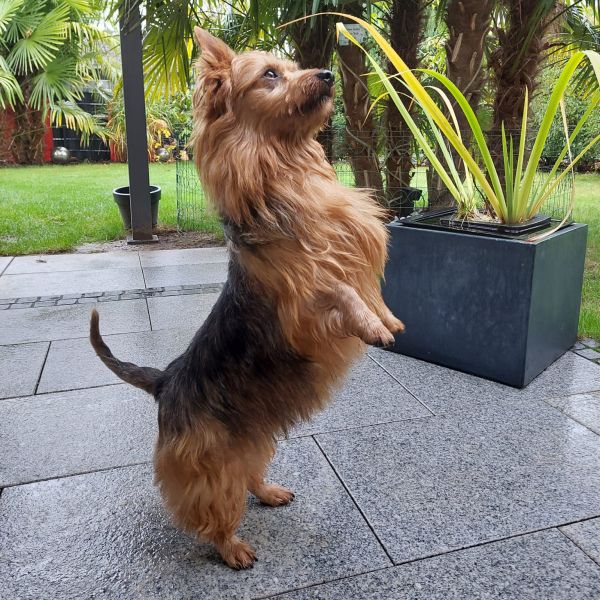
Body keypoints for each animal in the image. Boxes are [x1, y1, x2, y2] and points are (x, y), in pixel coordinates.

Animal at [89, 28, 406, 568]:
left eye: (295, 66)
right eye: (270, 75)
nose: (326, 73)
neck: (286, 167)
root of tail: (165, 380)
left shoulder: (352, 250)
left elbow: (368, 289)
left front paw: (386, 318)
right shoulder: (304, 298)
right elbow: (343, 289)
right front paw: (369, 325)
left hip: (251, 434)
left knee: (248, 471)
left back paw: (269, 491)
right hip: (210, 457)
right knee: (214, 502)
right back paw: (231, 545)